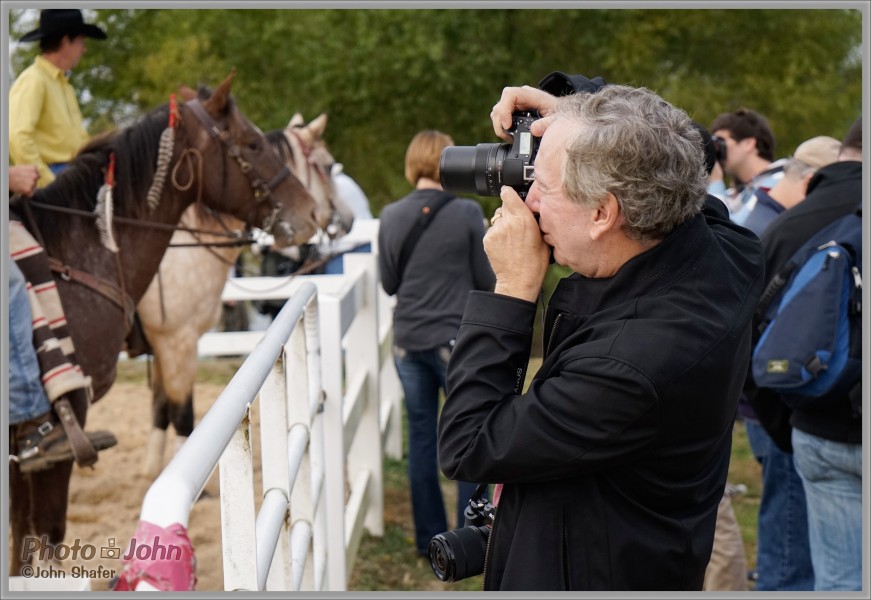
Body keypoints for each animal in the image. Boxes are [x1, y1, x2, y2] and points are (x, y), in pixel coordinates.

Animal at [136, 109, 354, 478]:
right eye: (326, 166)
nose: (349, 218)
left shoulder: (166, 348)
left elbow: (160, 408)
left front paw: (151, 469)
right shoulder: (178, 343)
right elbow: (182, 414)